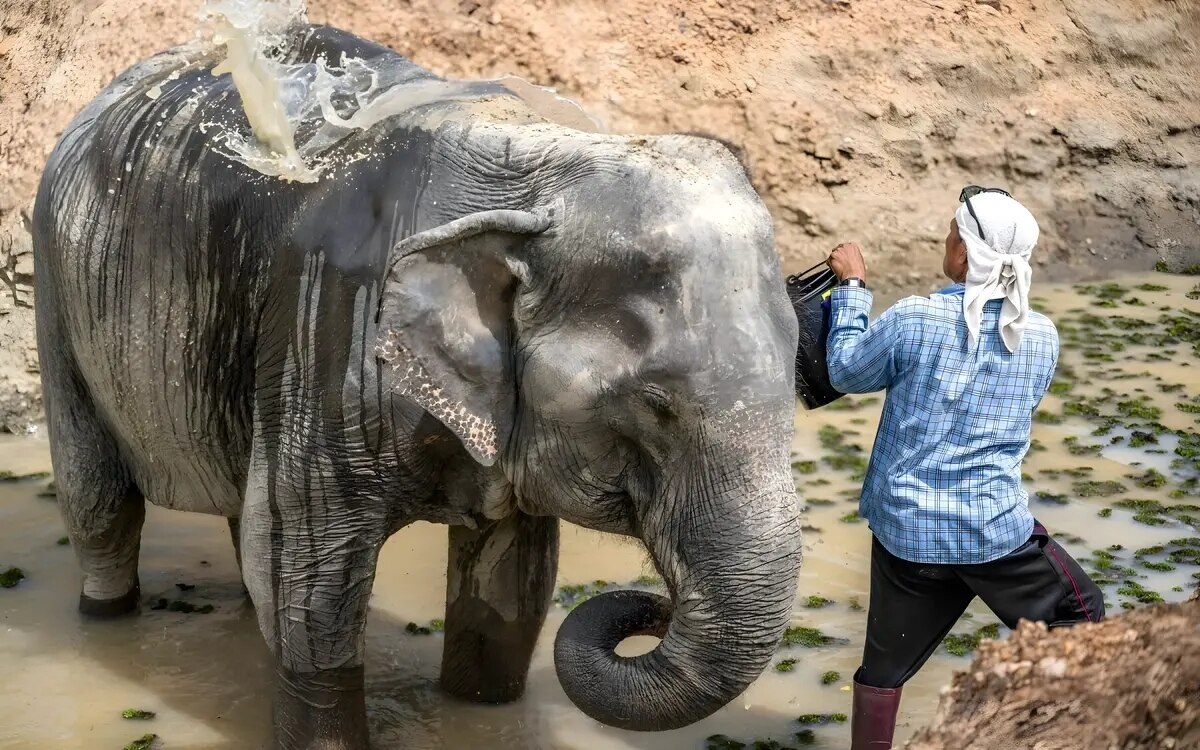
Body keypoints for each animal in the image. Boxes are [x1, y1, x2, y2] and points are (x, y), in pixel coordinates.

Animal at [32, 20, 825, 744]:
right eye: (657, 407)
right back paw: (106, 614)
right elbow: (307, 585)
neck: (538, 164)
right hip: (55, 289)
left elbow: (511, 581)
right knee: (101, 502)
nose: (655, 605)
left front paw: (480, 711)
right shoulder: (329, 327)